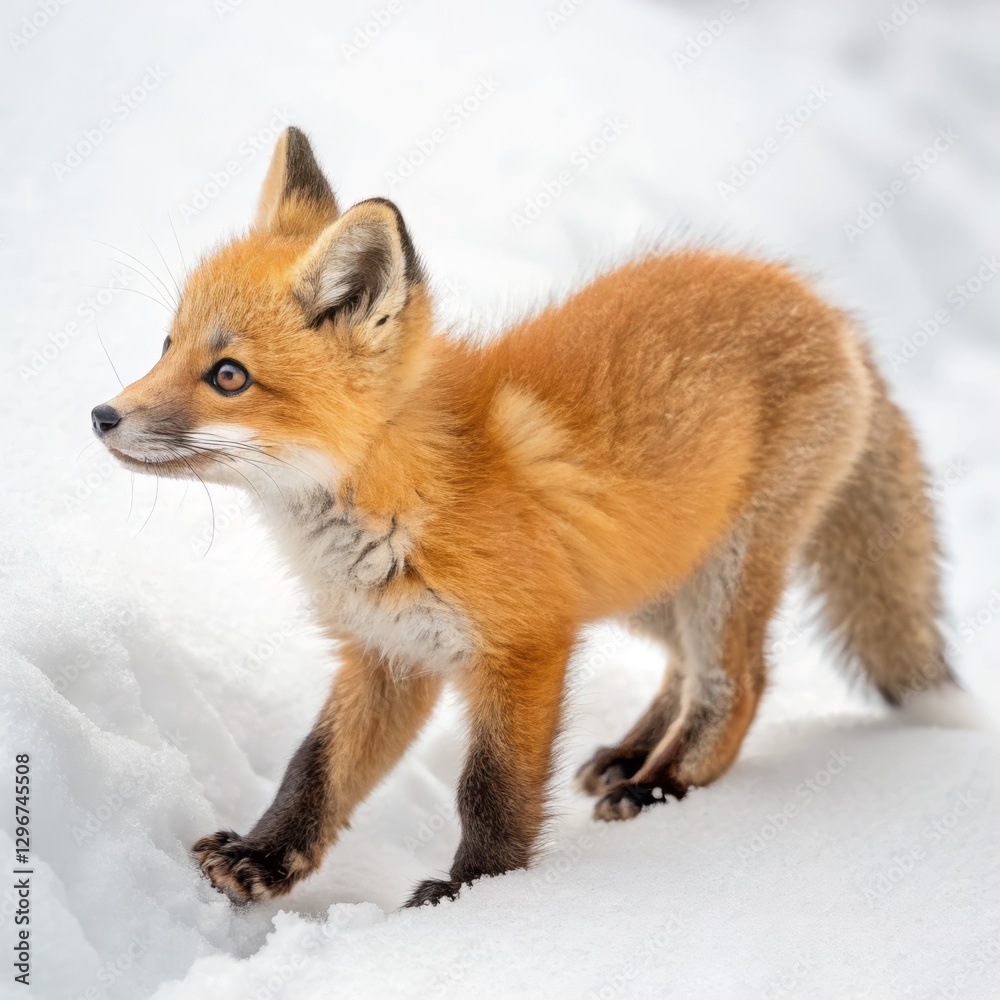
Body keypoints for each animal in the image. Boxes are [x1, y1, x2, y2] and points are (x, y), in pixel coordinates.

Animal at [92, 126, 964, 908]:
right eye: (165, 345)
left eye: (228, 375)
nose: (102, 415)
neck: (402, 494)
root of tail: (829, 309)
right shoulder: (389, 655)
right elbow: (316, 768)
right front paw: (265, 857)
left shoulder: (527, 644)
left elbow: (491, 788)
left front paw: (477, 891)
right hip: (644, 576)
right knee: (685, 667)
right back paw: (631, 758)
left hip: (722, 570)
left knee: (739, 684)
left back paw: (662, 786)